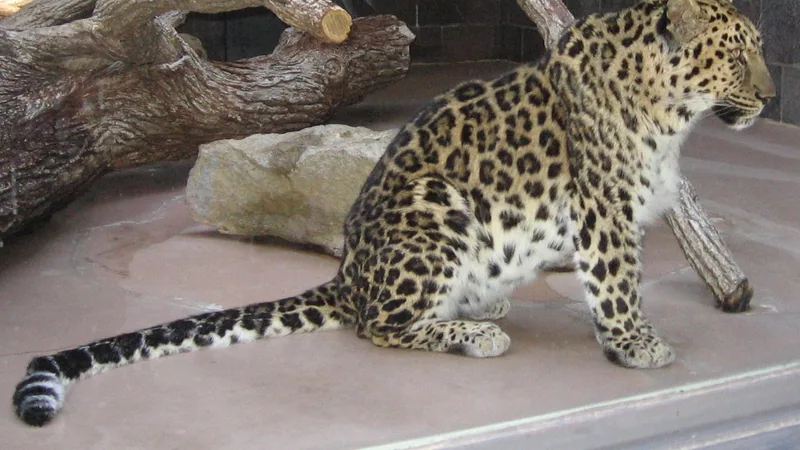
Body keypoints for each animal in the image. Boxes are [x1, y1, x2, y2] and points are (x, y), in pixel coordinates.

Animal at [13, 0, 775, 427]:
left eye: (761, 51)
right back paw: (473, 333)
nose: (771, 98)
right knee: (378, 326)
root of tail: (351, 272)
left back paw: (482, 305)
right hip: (436, 208)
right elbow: (618, 284)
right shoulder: (603, 207)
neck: (670, 110)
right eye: (737, 55)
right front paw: (637, 347)